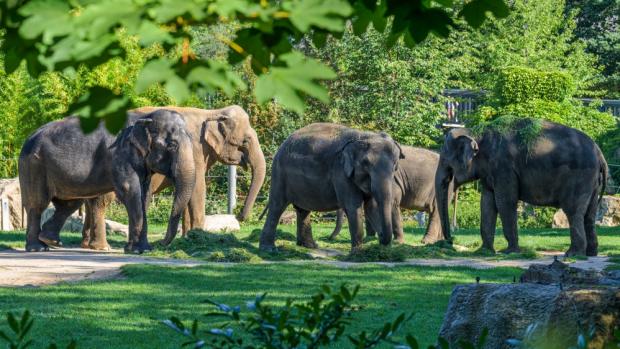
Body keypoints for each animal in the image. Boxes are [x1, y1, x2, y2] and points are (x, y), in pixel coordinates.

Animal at [19, 109, 194, 253]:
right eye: (172, 145)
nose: (161, 243)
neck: (144, 117)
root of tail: (28, 137)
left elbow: (143, 196)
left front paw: (143, 250)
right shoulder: (120, 154)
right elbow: (130, 191)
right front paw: (138, 250)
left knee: (69, 204)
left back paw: (50, 241)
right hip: (34, 166)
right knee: (37, 204)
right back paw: (38, 248)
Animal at [78, 104, 266, 249]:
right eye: (245, 141)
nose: (238, 216)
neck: (212, 112)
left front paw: (188, 238)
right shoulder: (195, 149)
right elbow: (198, 188)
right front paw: (198, 236)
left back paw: (87, 245)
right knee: (101, 201)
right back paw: (103, 247)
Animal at [256, 122, 402, 250]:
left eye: (395, 165)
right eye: (366, 163)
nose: (381, 237)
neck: (362, 135)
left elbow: (371, 207)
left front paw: (383, 249)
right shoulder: (340, 172)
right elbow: (353, 206)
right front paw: (358, 253)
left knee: (303, 210)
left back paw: (310, 246)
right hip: (279, 172)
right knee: (277, 206)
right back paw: (268, 249)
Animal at [434, 119, 608, 256]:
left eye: (447, 163)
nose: (450, 241)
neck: (476, 131)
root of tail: (600, 155)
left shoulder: (504, 167)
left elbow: (505, 202)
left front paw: (508, 252)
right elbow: (487, 204)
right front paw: (484, 252)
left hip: (580, 177)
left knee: (573, 212)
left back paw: (572, 254)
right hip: (593, 182)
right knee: (589, 215)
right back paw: (590, 254)